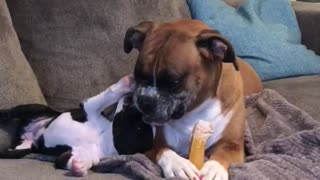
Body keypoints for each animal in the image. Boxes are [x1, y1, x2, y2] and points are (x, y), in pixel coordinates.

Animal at [0, 74, 154, 176]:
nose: (132, 97)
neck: (102, 137)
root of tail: (27, 132)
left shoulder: (75, 155)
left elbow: (71, 161)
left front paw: (80, 166)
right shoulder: (90, 108)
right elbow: (110, 94)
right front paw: (126, 83)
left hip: (20, 149)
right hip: (31, 109)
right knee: (9, 112)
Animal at [124, 19, 262, 179]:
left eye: (173, 82)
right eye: (138, 75)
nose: (144, 100)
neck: (194, 111)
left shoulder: (233, 146)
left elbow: (223, 155)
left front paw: (215, 169)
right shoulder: (146, 149)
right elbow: (162, 150)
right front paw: (178, 164)